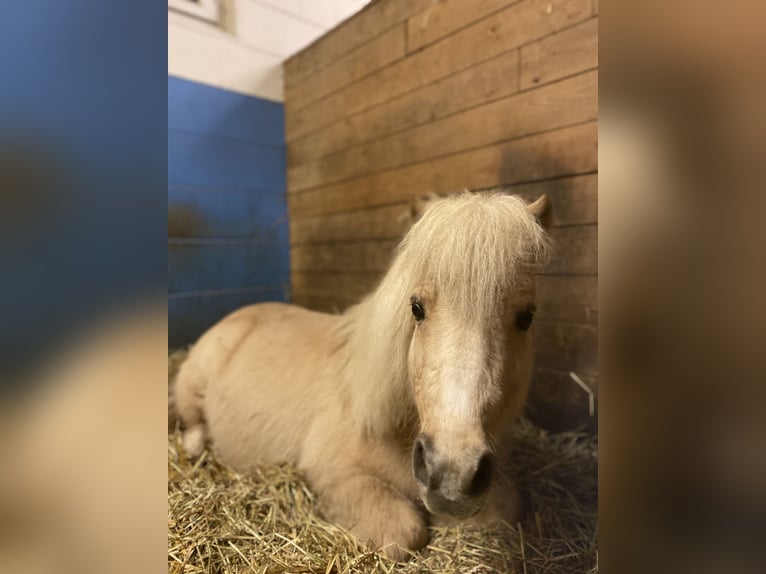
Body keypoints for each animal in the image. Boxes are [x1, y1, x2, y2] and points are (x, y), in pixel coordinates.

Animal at [173, 192, 551, 561]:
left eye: (527, 316)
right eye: (416, 308)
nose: (451, 473)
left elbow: (504, 509)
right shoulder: (336, 474)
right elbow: (404, 532)